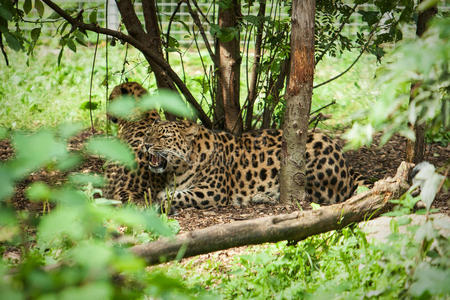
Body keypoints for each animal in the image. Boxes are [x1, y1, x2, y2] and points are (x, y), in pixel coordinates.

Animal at [142, 119, 364, 211]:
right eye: (149, 132)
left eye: (164, 137)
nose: (146, 144)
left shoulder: (212, 191)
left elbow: (177, 196)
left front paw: (158, 201)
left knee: (310, 194)